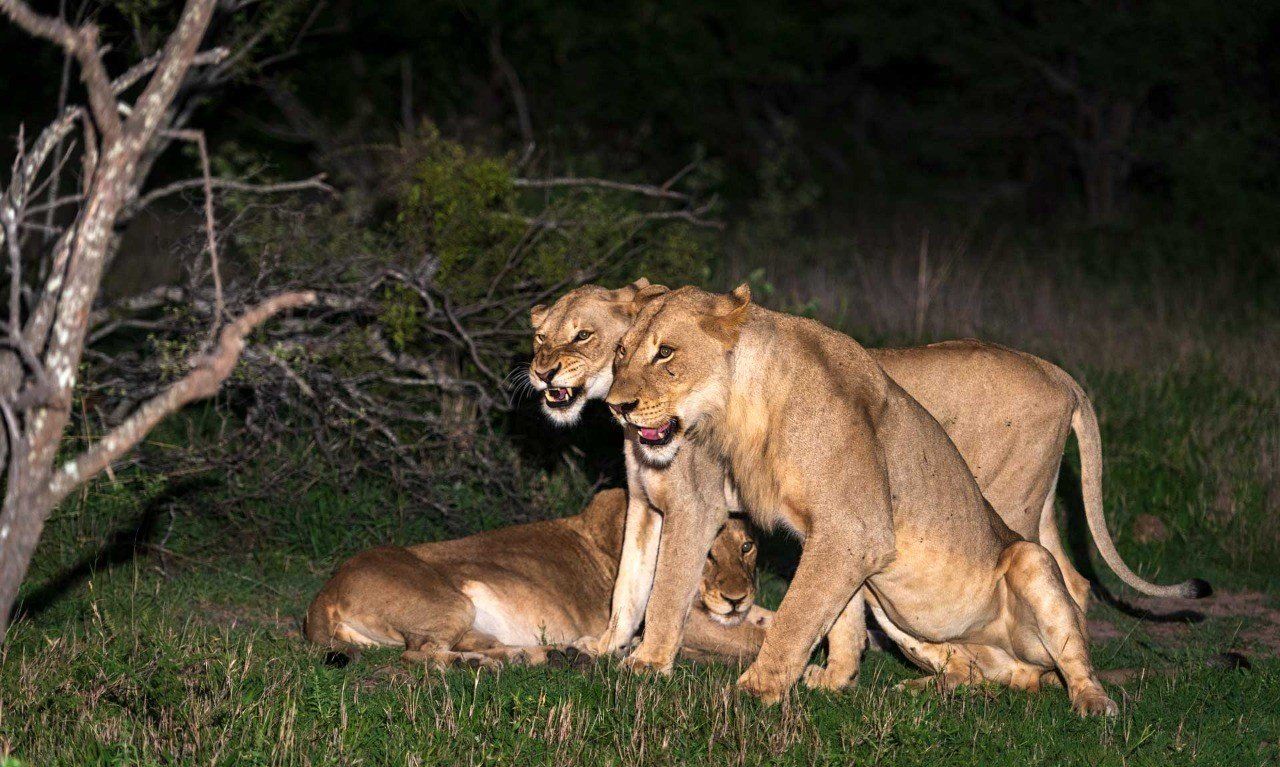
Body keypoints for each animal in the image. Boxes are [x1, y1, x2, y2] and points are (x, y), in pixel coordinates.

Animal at [304, 488, 767, 667]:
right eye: (706, 555)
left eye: (747, 547)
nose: (736, 598)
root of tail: (323, 594)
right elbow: (753, 638)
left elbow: (765, 619)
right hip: (452, 602)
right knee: (419, 654)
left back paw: (548, 654)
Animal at [527, 282, 1205, 660]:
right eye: (539, 336)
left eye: (583, 337)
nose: (540, 372)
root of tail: (1056, 370)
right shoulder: (647, 507)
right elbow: (628, 588)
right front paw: (605, 647)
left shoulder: (696, 509)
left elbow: (665, 593)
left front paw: (646, 664)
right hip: (1033, 503)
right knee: (1074, 578)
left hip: (1003, 505)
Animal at [605, 284, 1119, 715]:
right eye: (621, 352)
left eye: (665, 352)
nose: (616, 406)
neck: (745, 405)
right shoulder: (832, 537)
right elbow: (839, 619)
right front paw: (837, 680)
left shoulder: (847, 529)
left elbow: (785, 613)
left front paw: (749, 688)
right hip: (899, 605)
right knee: (975, 669)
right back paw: (921, 689)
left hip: (1026, 553)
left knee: (1069, 640)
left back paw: (1093, 703)